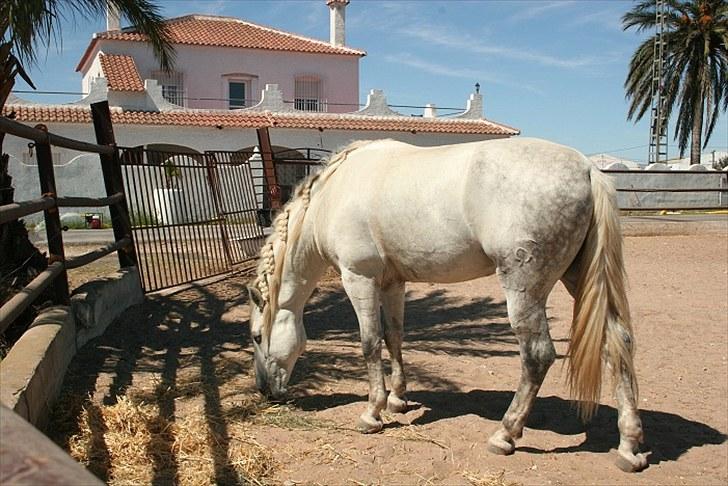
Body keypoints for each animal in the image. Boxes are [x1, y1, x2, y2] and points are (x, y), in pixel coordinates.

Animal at [247, 138, 644, 470]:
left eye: (255, 336)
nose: (264, 391)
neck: (332, 196)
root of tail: (588, 169)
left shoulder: (359, 278)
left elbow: (370, 343)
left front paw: (373, 413)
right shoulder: (392, 282)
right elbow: (394, 337)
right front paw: (398, 399)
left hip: (525, 290)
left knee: (538, 356)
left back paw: (505, 434)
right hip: (580, 279)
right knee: (617, 343)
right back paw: (629, 448)